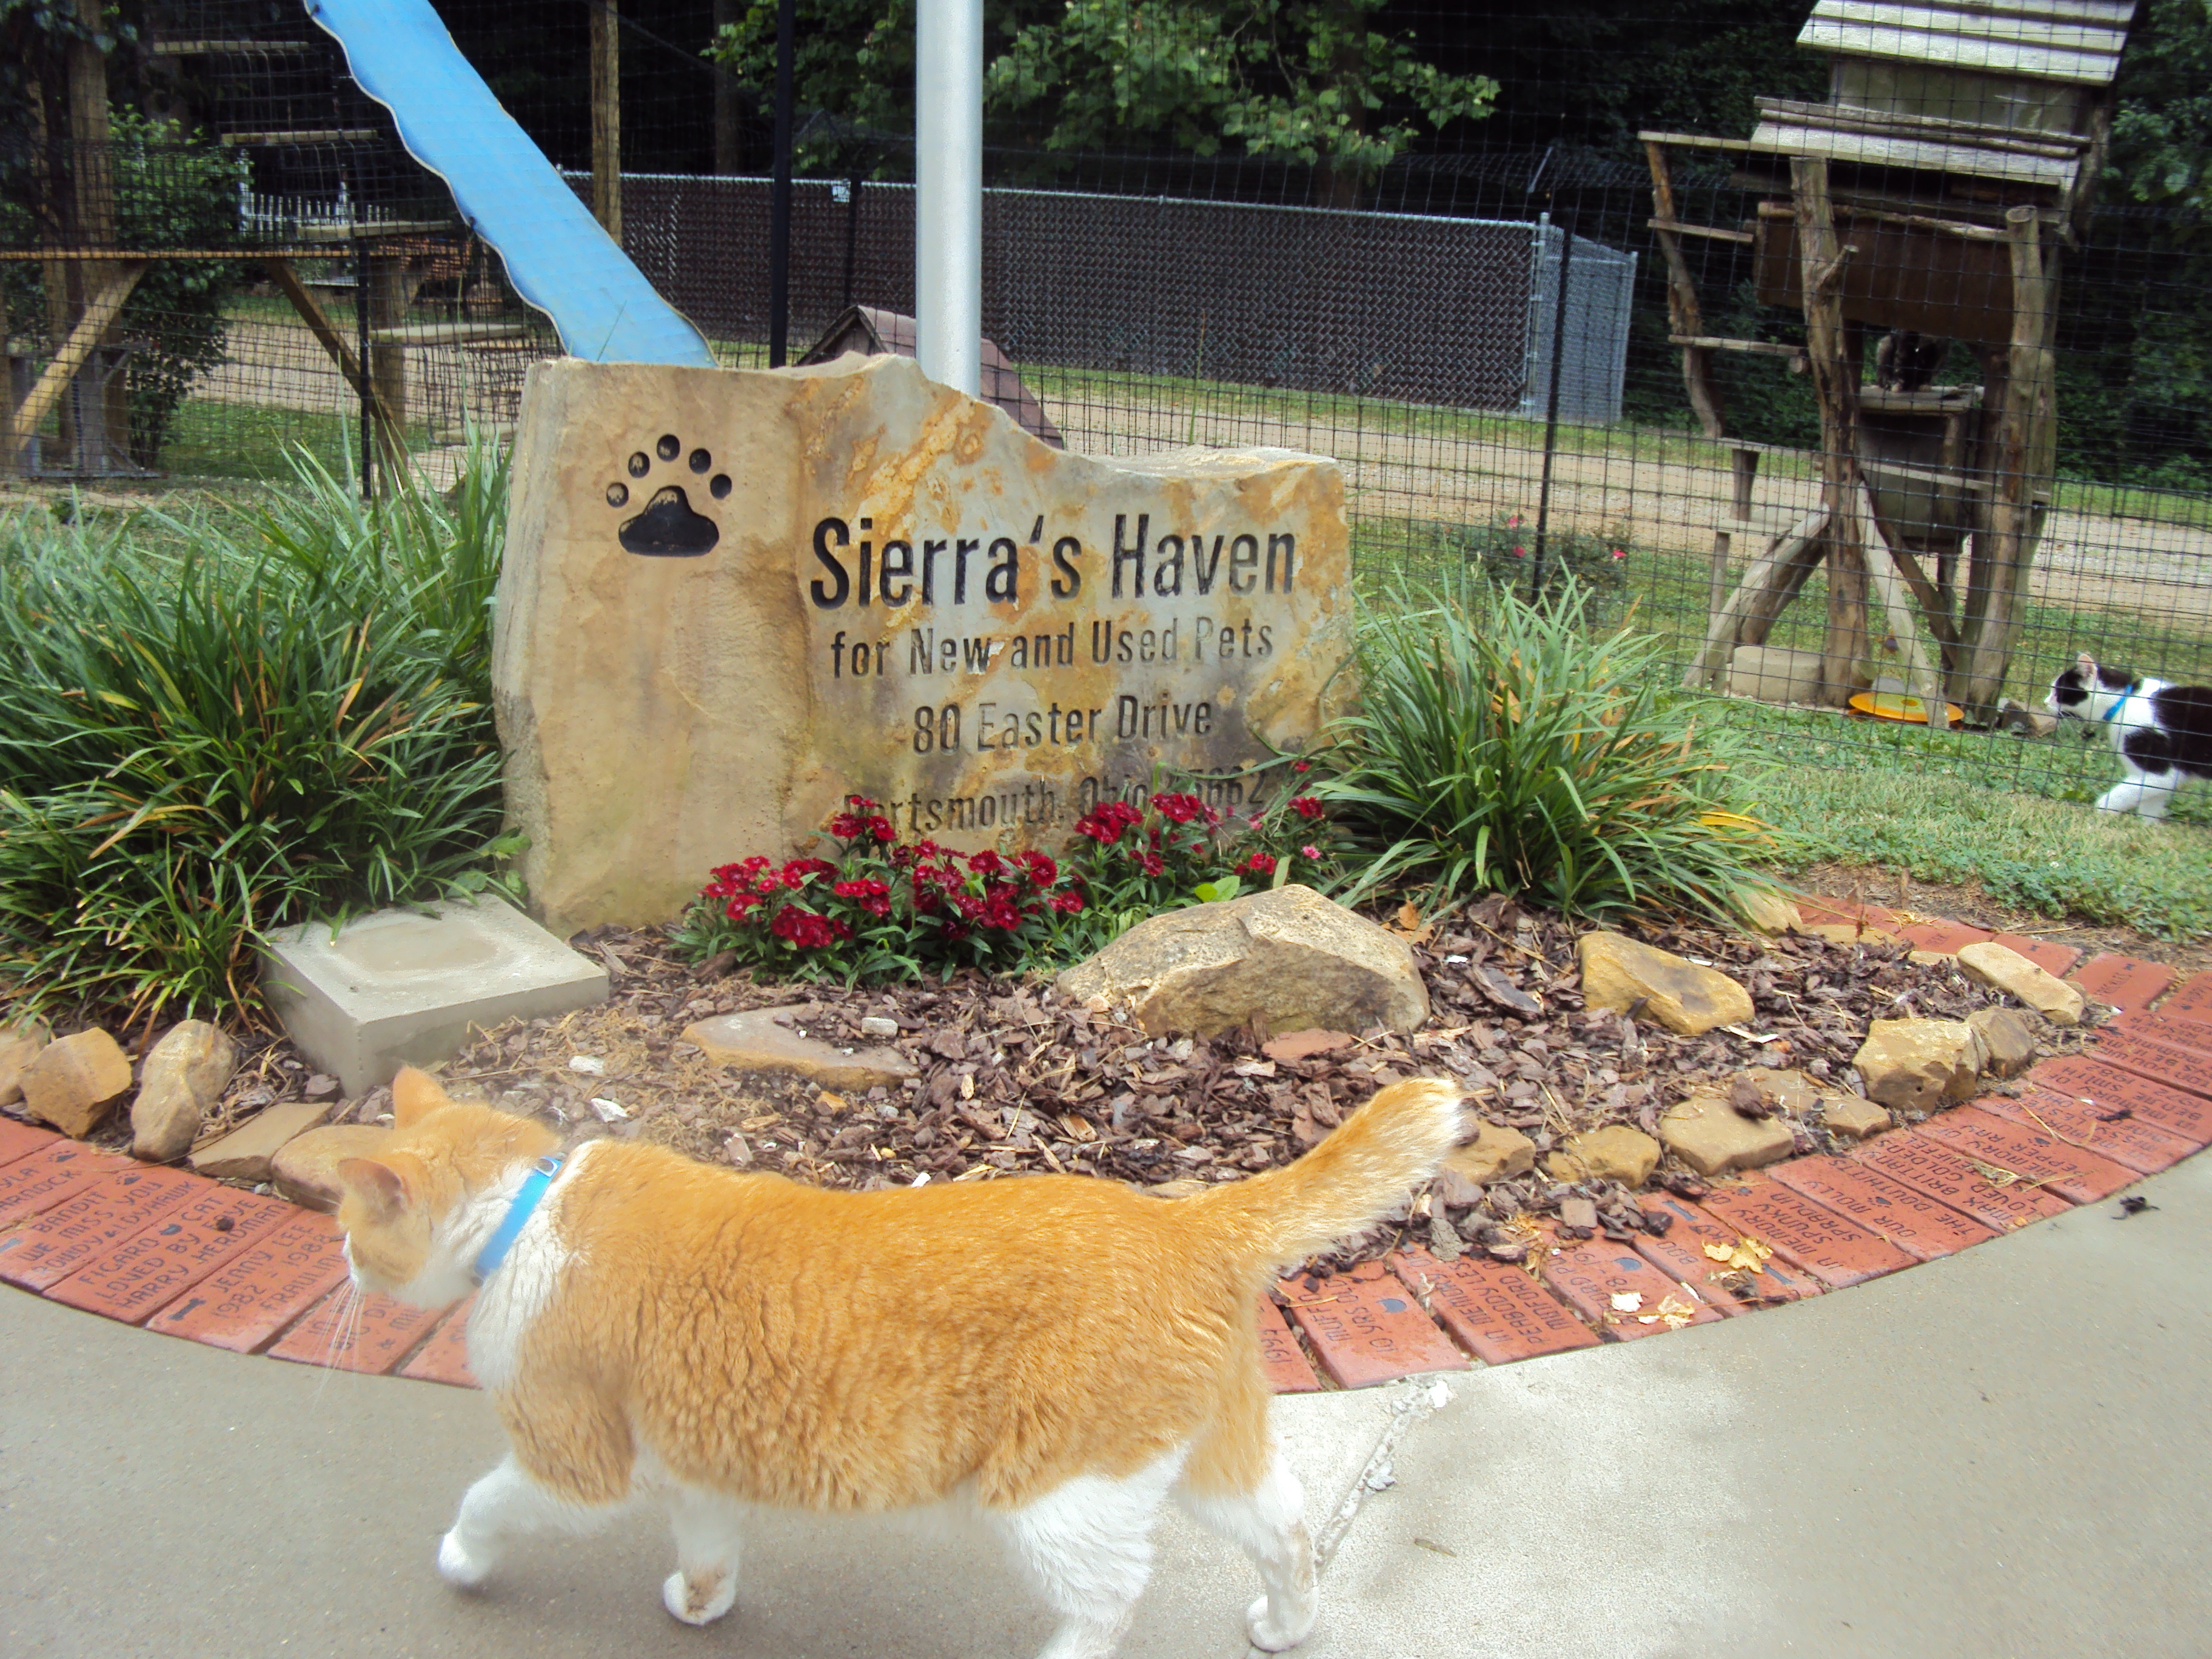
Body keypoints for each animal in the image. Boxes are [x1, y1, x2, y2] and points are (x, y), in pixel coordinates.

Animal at [333, 1066, 1472, 1659]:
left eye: (348, 1225)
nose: (341, 1263)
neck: (527, 1211)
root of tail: (1182, 1221)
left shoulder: (574, 1467)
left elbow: (483, 1503)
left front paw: (461, 1562)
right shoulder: (695, 1465)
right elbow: (707, 1549)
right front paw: (700, 1607)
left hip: (1055, 1499)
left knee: (1109, 1603)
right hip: (1194, 1458)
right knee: (1287, 1530)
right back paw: (1287, 1626)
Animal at [2046, 651, 2212, 819]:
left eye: (2057, 692)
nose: (2045, 702)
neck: (2125, 700)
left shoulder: (2159, 772)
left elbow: (2119, 796)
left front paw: (2101, 813)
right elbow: (2149, 809)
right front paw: (2143, 825)